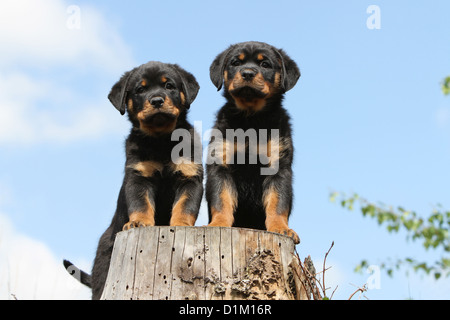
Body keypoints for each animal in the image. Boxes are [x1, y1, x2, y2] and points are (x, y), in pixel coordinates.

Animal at [71, 62, 202, 300]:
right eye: (140, 90)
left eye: (169, 86)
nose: (157, 100)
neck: (162, 141)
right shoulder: (138, 176)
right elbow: (141, 204)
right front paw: (139, 222)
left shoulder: (190, 176)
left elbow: (185, 206)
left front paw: (181, 224)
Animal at [206, 41, 300, 244]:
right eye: (235, 62)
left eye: (265, 64)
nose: (247, 73)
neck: (251, 119)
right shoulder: (220, 163)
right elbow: (221, 199)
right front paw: (218, 223)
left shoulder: (278, 165)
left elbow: (277, 202)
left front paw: (281, 228)